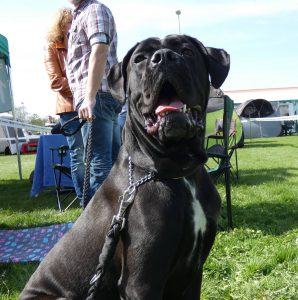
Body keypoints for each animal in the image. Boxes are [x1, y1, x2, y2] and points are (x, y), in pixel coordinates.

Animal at [19, 34, 229, 298]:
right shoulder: (141, 281)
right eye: (139, 59)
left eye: (187, 51)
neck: (179, 172)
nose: (163, 57)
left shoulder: (193, 274)